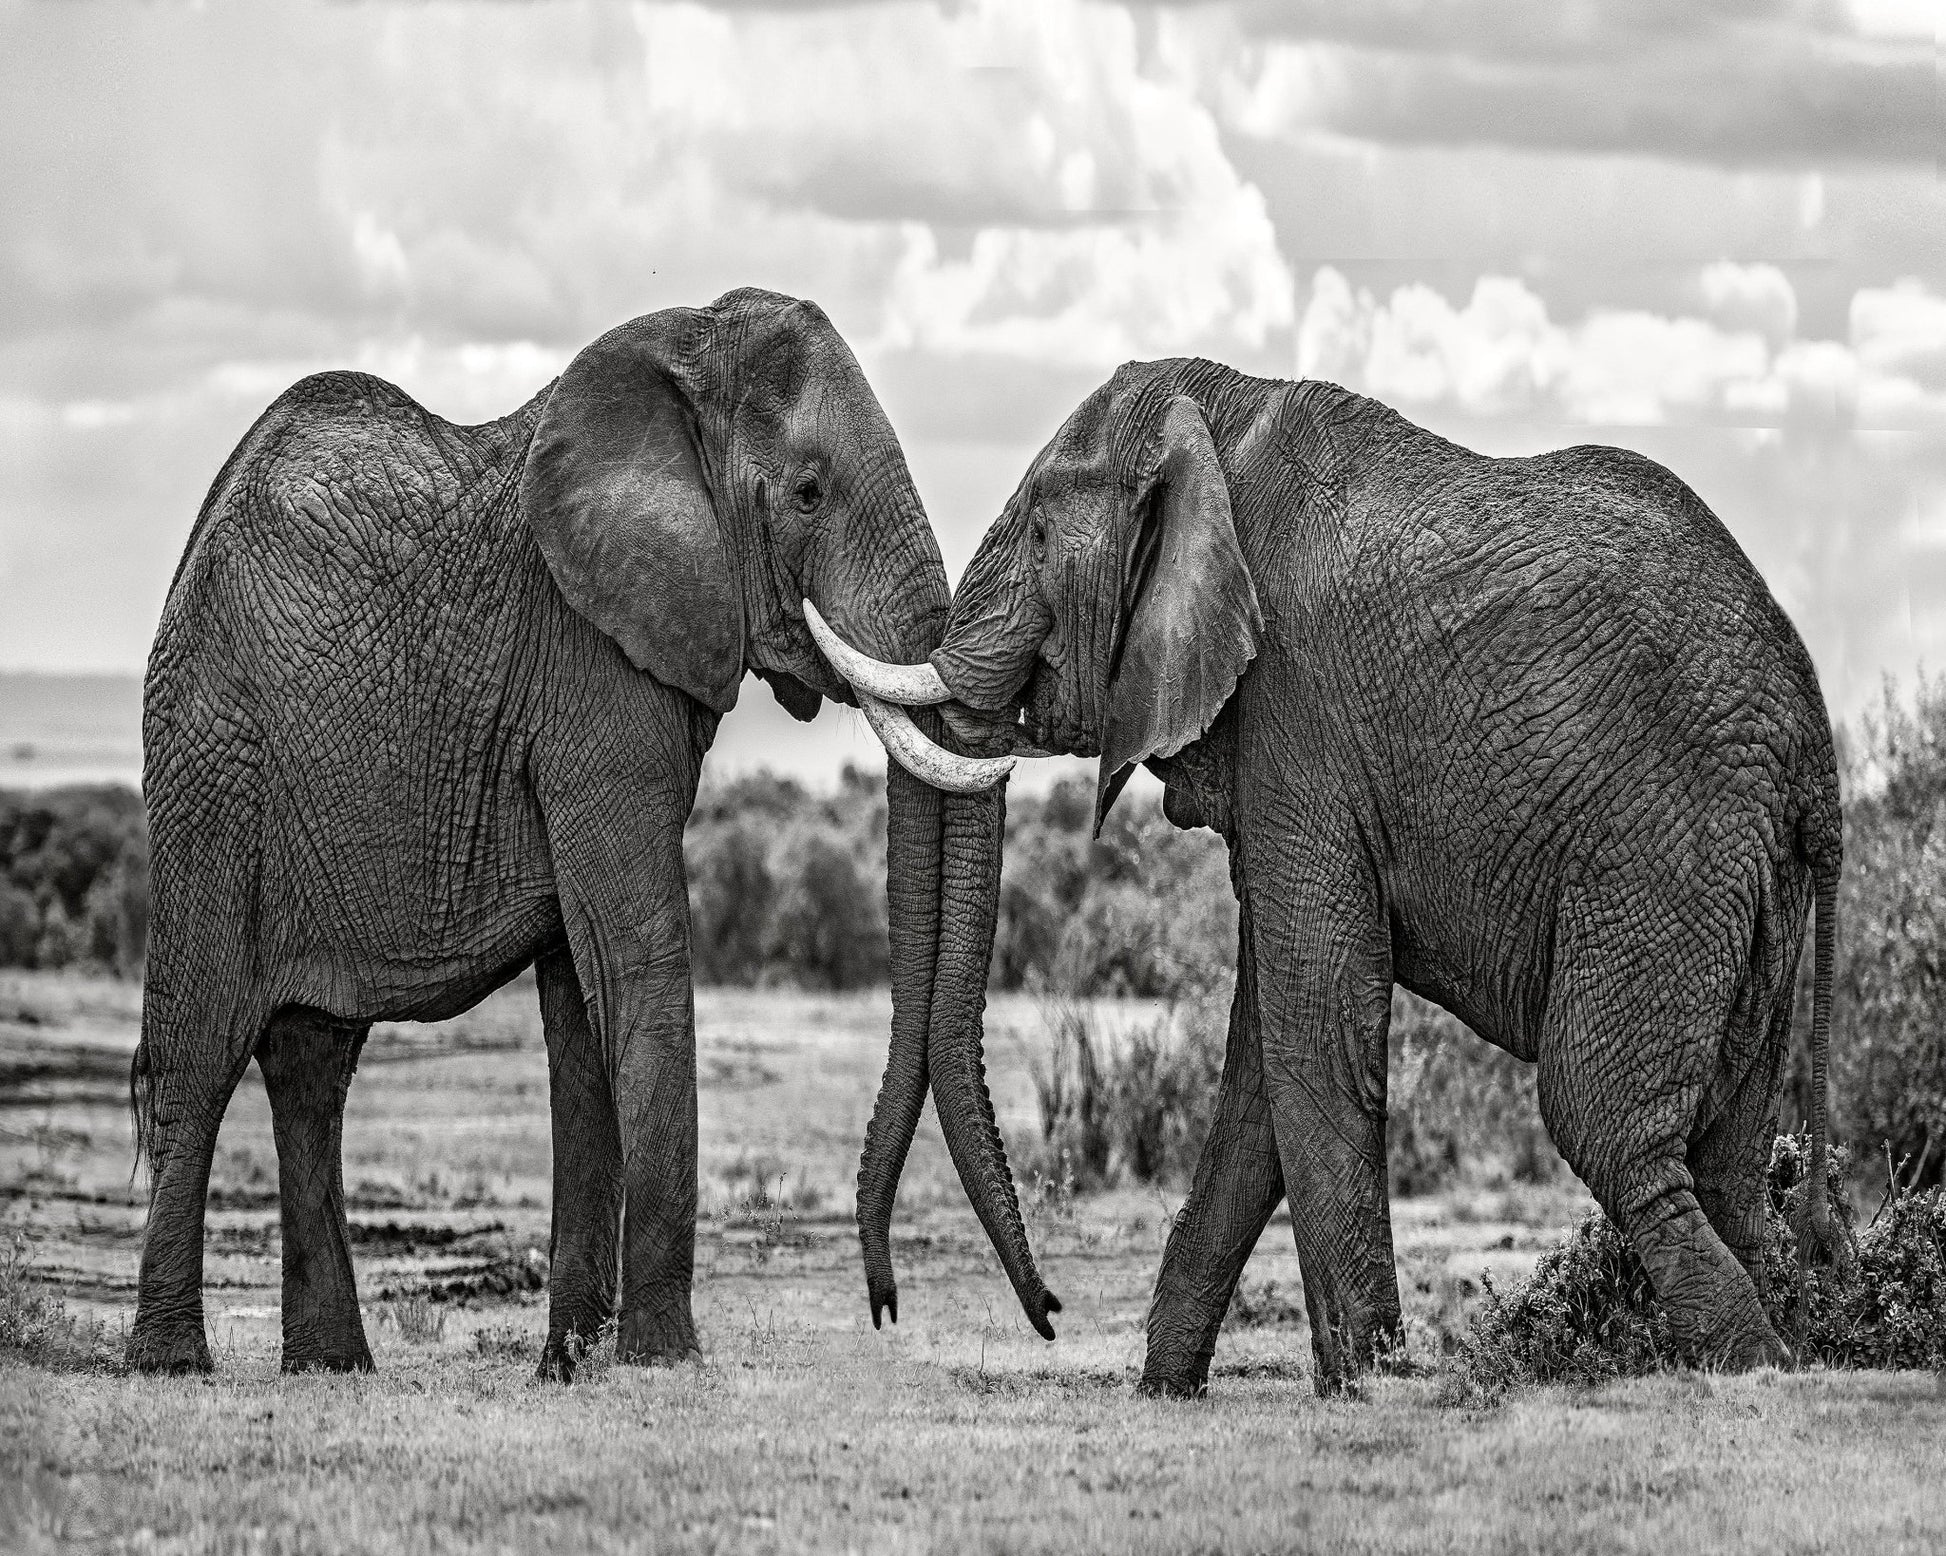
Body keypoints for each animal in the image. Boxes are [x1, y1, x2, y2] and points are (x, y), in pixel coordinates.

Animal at [126, 286, 1056, 1378]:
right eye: (809, 492)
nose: (1048, 1310)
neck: (680, 357)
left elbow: (583, 997)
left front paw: (570, 1365)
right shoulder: (589, 668)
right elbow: (633, 954)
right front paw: (664, 1358)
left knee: (312, 1065)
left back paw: (332, 1367)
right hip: (211, 766)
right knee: (202, 1050)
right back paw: (171, 1362)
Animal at [813, 357, 1845, 1393]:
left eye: (1034, 530)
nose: (1052, 1315)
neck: (1216, 423)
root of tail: (1816, 750)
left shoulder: (1296, 714)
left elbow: (1315, 1020)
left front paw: (1365, 1384)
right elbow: (1263, 1060)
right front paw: (1168, 1388)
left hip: (1664, 850)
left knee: (1605, 1123)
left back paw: (1754, 1362)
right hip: (1751, 882)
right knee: (1729, 1149)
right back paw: (1777, 1340)